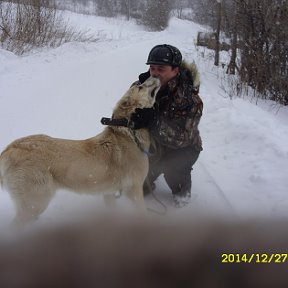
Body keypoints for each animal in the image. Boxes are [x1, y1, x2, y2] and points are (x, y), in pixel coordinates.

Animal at [0, 75, 160, 224]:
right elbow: (143, 213)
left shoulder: (108, 193)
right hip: (35, 204)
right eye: (140, 87)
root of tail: (8, 150)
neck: (129, 132)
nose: (153, 75)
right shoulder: (135, 190)